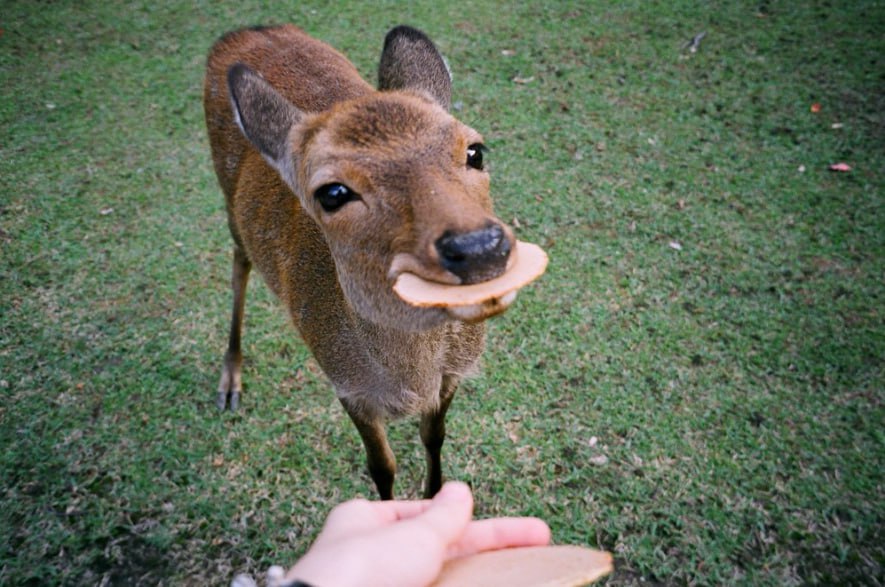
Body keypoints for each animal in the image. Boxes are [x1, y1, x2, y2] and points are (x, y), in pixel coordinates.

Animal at [205, 24, 524, 500]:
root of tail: (244, 30)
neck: (411, 379)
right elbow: (382, 467)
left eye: (475, 151)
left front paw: (434, 497)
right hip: (226, 195)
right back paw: (230, 382)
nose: (480, 247)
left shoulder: (454, 373)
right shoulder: (346, 383)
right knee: (239, 263)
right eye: (333, 193)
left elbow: (434, 436)